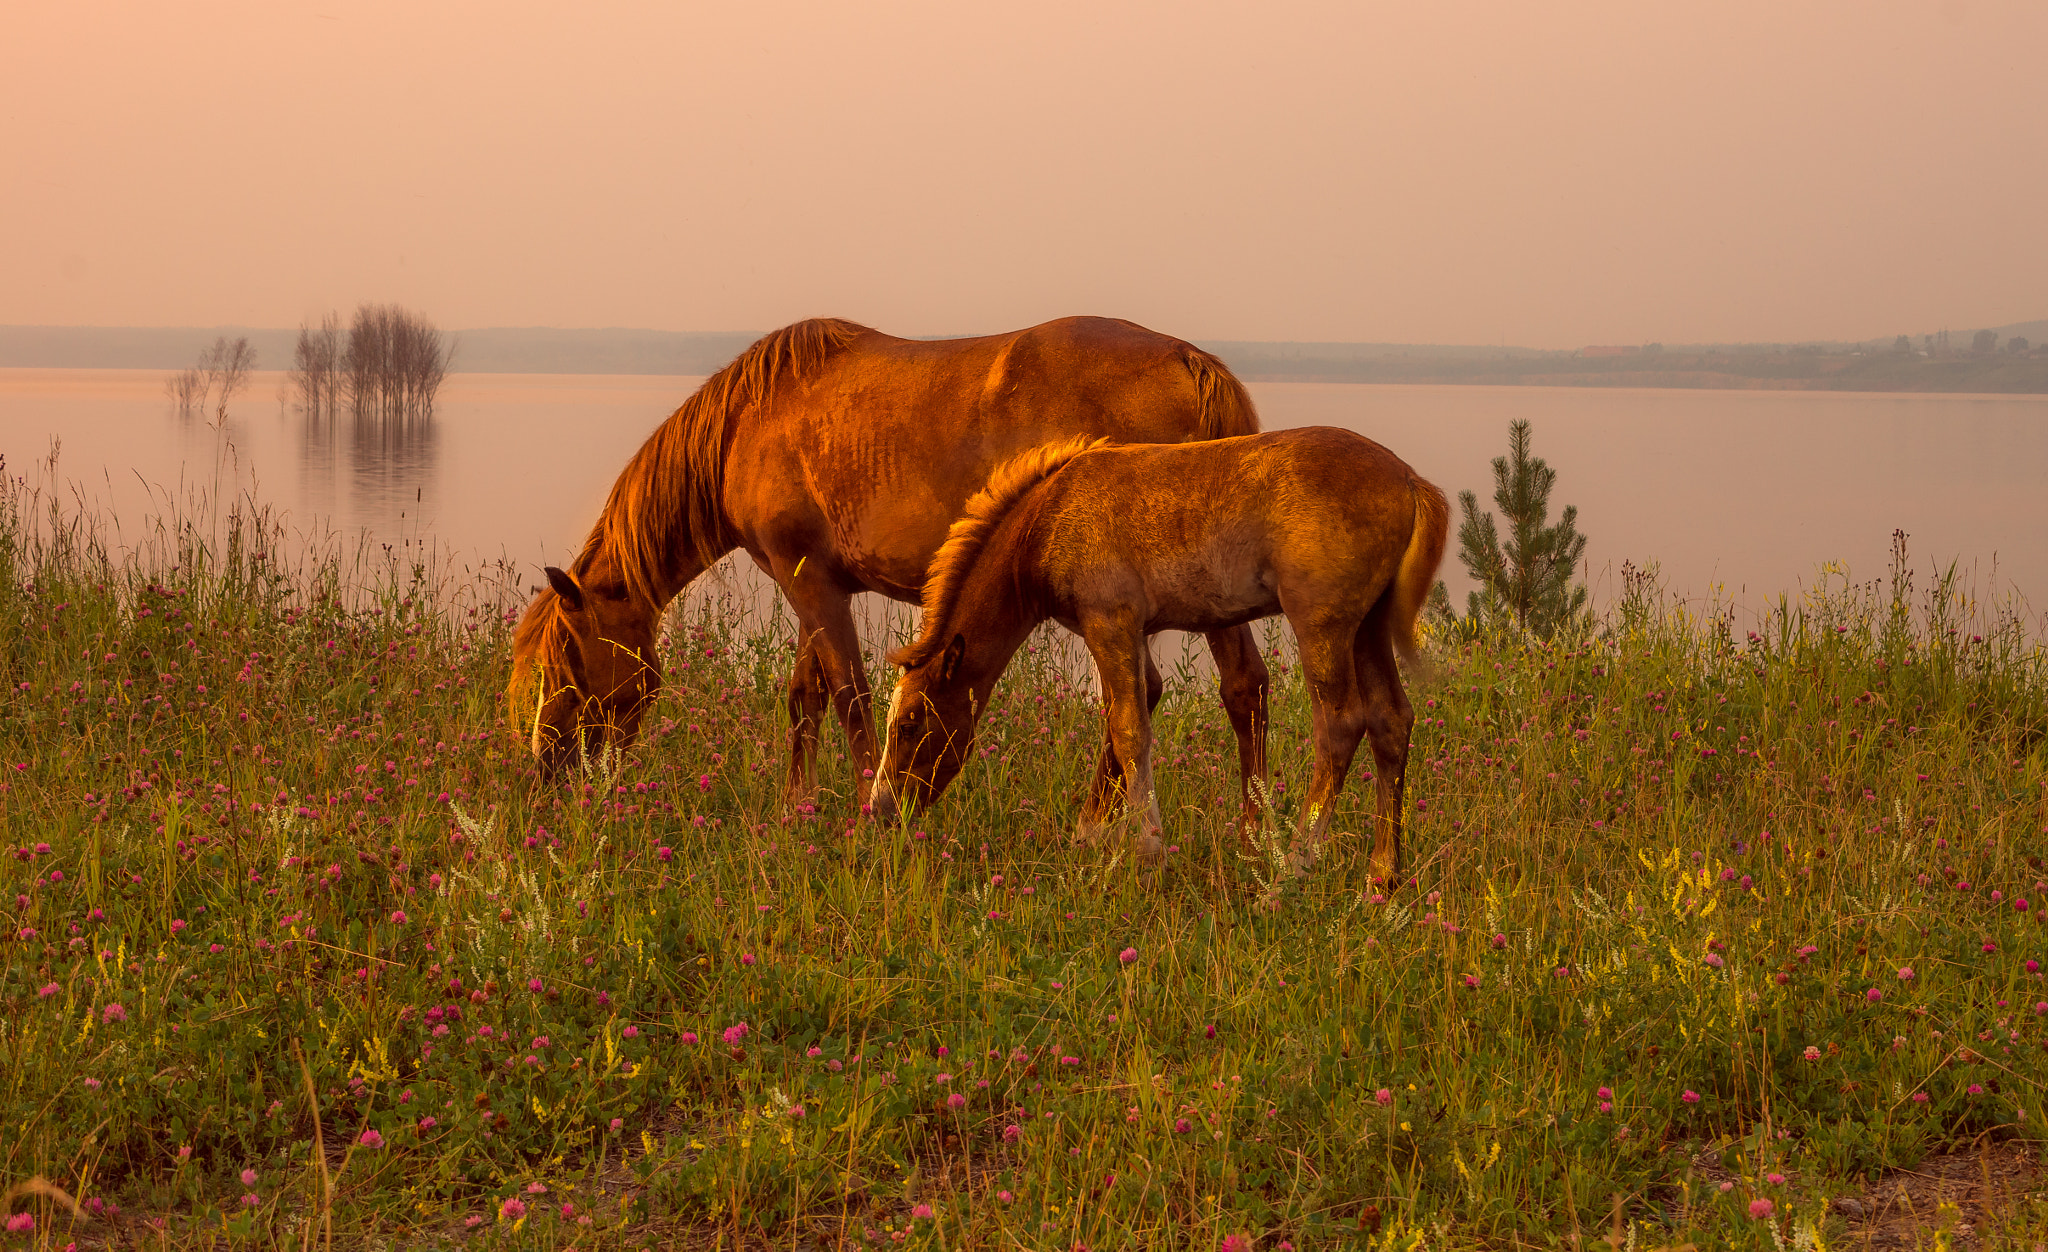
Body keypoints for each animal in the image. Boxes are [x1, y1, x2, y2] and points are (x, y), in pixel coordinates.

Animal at [509, 313, 1269, 823]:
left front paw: (859, 805)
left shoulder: (807, 581)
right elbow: (806, 694)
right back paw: (1249, 833)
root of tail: (1189, 361)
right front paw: (795, 811)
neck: (749, 421)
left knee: (1148, 693)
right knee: (1242, 688)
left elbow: (848, 695)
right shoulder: (813, 583)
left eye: (567, 664)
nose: (547, 770)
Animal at [872, 430, 1449, 881]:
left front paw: (1146, 850)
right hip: (1369, 627)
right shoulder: (1128, 632)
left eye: (909, 722)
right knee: (1391, 720)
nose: (879, 808)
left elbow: (1129, 729)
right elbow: (1128, 710)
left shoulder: (1110, 622)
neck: (1050, 517)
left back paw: (1294, 867)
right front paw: (1090, 836)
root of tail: (1409, 481)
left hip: (1322, 625)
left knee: (1341, 724)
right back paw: (1382, 877)